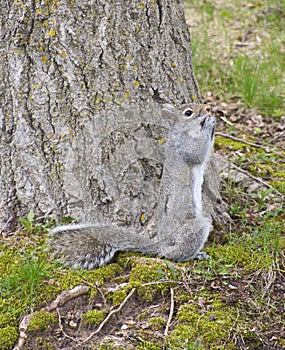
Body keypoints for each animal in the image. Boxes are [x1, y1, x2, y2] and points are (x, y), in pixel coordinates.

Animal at [50, 102, 216, 270]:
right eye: (188, 113)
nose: (208, 108)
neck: (183, 133)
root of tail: (162, 245)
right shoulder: (185, 149)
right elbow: (199, 152)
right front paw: (210, 123)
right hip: (193, 228)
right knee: (176, 254)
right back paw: (194, 255)